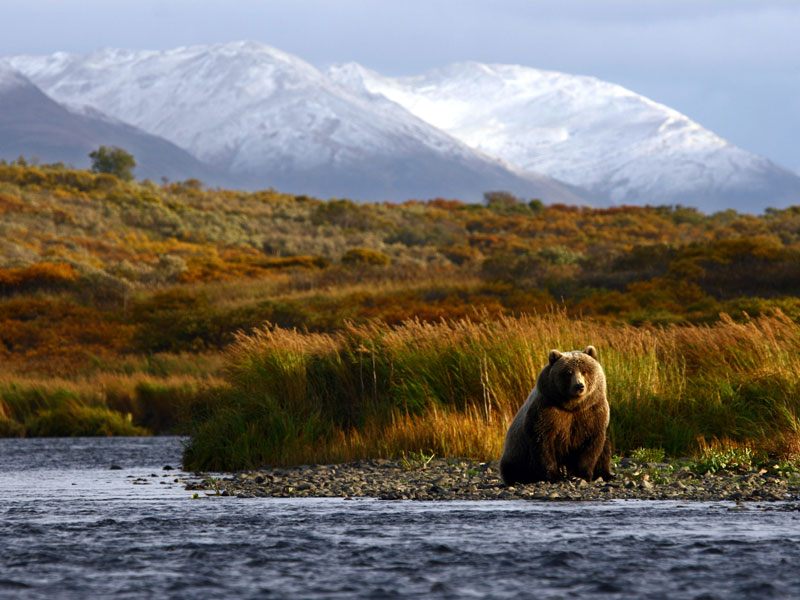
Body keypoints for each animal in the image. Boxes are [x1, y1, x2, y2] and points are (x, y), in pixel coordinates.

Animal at [500, 344, 612, 486]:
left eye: (584, 371)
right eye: (568, 373)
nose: (579, 386)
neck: (572, 406)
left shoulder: (592, 411)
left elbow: (591, 444)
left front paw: (580, 475)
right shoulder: (548, 410)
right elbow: (543, 443)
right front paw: (555, 476)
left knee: (605, 448)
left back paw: (606, 475)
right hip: (516, 453)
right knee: (514, 468)